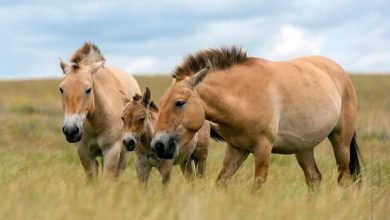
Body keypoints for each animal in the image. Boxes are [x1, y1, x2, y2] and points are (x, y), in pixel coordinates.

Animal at [58, 43, 141, 180]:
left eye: (88, 89)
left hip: (124, 155)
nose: (71, 131)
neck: (96, 123)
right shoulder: (84, 152)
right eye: (61, 89)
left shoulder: (111, 151)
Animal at [151, 46, 362, 191]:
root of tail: (340, 72)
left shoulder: (263, 149)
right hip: (304, 147)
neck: (243, 96)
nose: (158, 145)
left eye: (179, 103)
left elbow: (257, 187)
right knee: (314, 178)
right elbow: (221, 182)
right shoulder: (236, 148)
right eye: (161, 103)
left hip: (341, 140)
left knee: (344, 177)